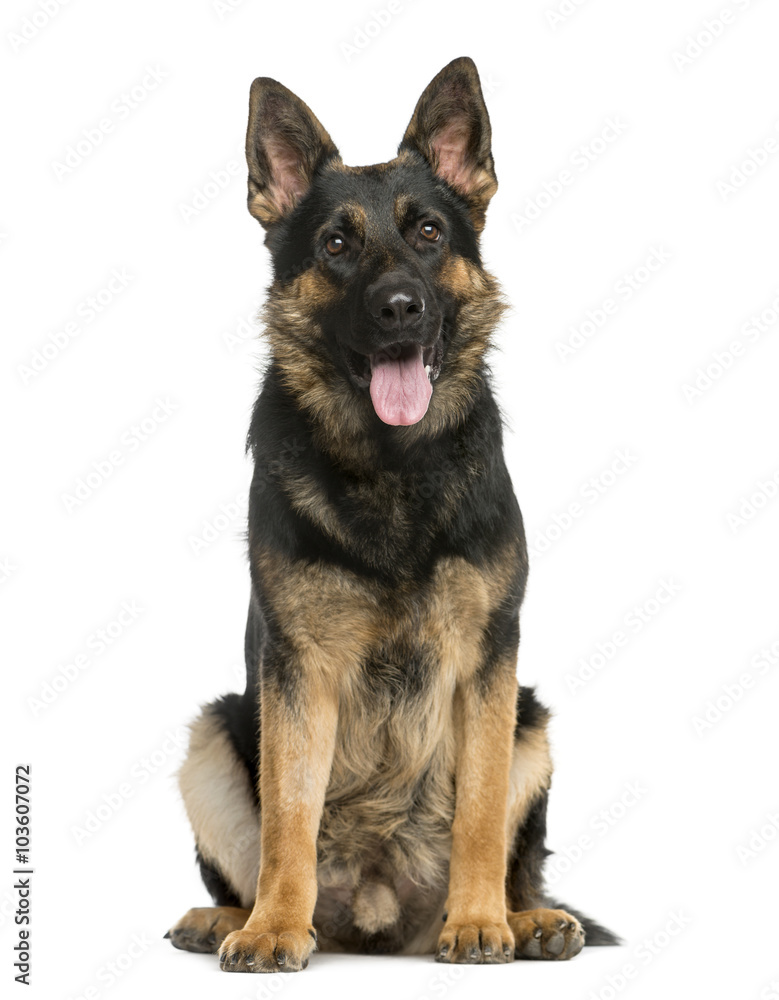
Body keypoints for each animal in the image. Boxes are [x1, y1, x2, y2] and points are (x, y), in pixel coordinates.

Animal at [168, 58, 620, 972]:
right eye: (336, 246)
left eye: (429, 234)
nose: (401, 307)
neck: (391, 466)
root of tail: (378, 920)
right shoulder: (297, 672)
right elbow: (289, 816)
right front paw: (273, 926)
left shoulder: (488, 663)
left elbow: (478, 807)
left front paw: (478, 921)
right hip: (213, 734)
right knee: (248, 856)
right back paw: (227, 917)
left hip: (530, 721)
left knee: (518, 860)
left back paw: (524, 919)